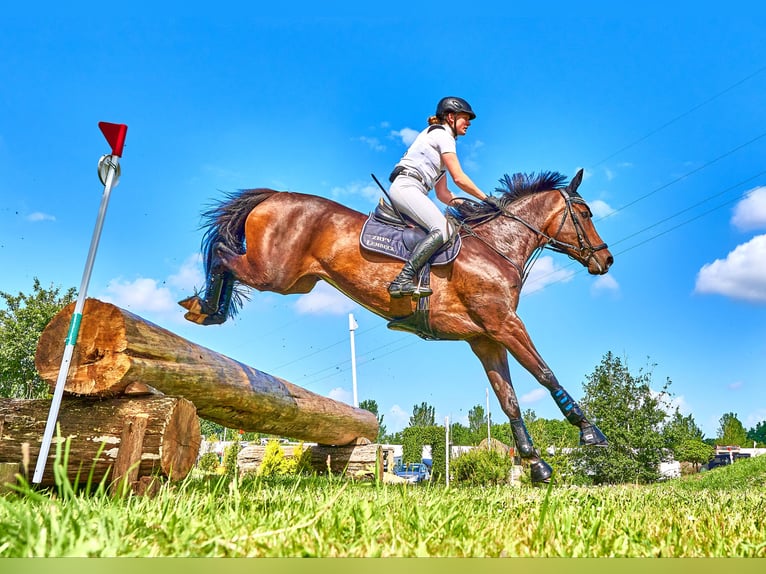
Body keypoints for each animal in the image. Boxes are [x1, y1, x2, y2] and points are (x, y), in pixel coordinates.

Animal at [179, 169, 614, 483]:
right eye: (586, 214)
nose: (605, 260)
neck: (496, 249)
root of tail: (274, 196)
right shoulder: (505, 324)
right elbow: (544, 373)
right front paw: (591, 433)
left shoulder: (485, 338)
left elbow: (509, 400)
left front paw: (536, 464)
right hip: (275, 273)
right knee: (223, 252)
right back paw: (204, 307)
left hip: (295, 282)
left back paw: (206, 308)